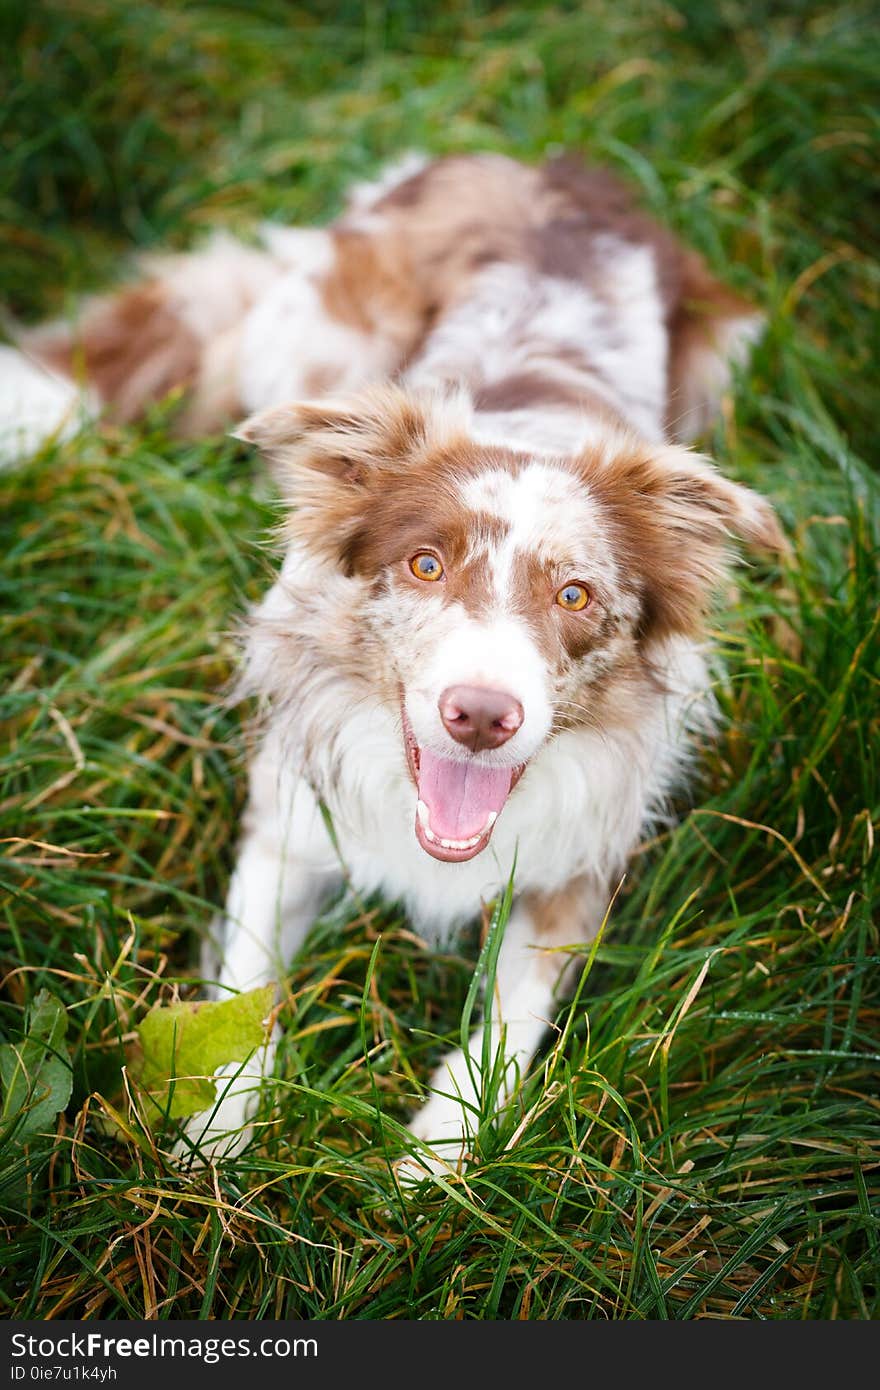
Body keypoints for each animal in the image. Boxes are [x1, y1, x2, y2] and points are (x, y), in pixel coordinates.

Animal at [1, 154, 784, 1173]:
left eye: (575, 596)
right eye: (425, 565)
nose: (480, 715)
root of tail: (558, 166)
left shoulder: (575, 868)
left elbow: (509, 1021)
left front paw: (434, 1163)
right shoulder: (289, 822)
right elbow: (245, 996)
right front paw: (219, 1137)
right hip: (318, 340)